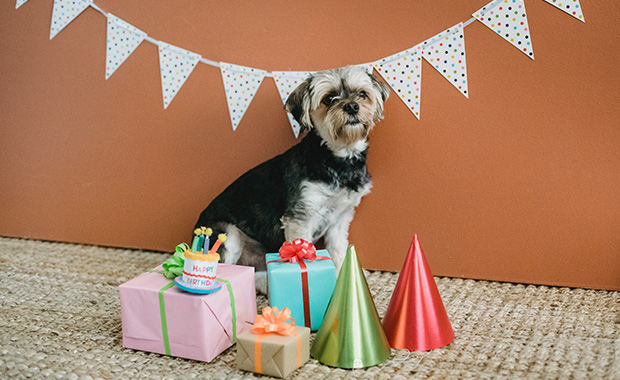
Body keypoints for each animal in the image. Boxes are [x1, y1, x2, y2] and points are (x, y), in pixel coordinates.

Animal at [195, 65, 388, 292]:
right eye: (329, 98)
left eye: (362, 94)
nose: (351, 106)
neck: (337, 159)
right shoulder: (300, 217)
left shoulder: (340, 219)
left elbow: (339, 253)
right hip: (227, 234)